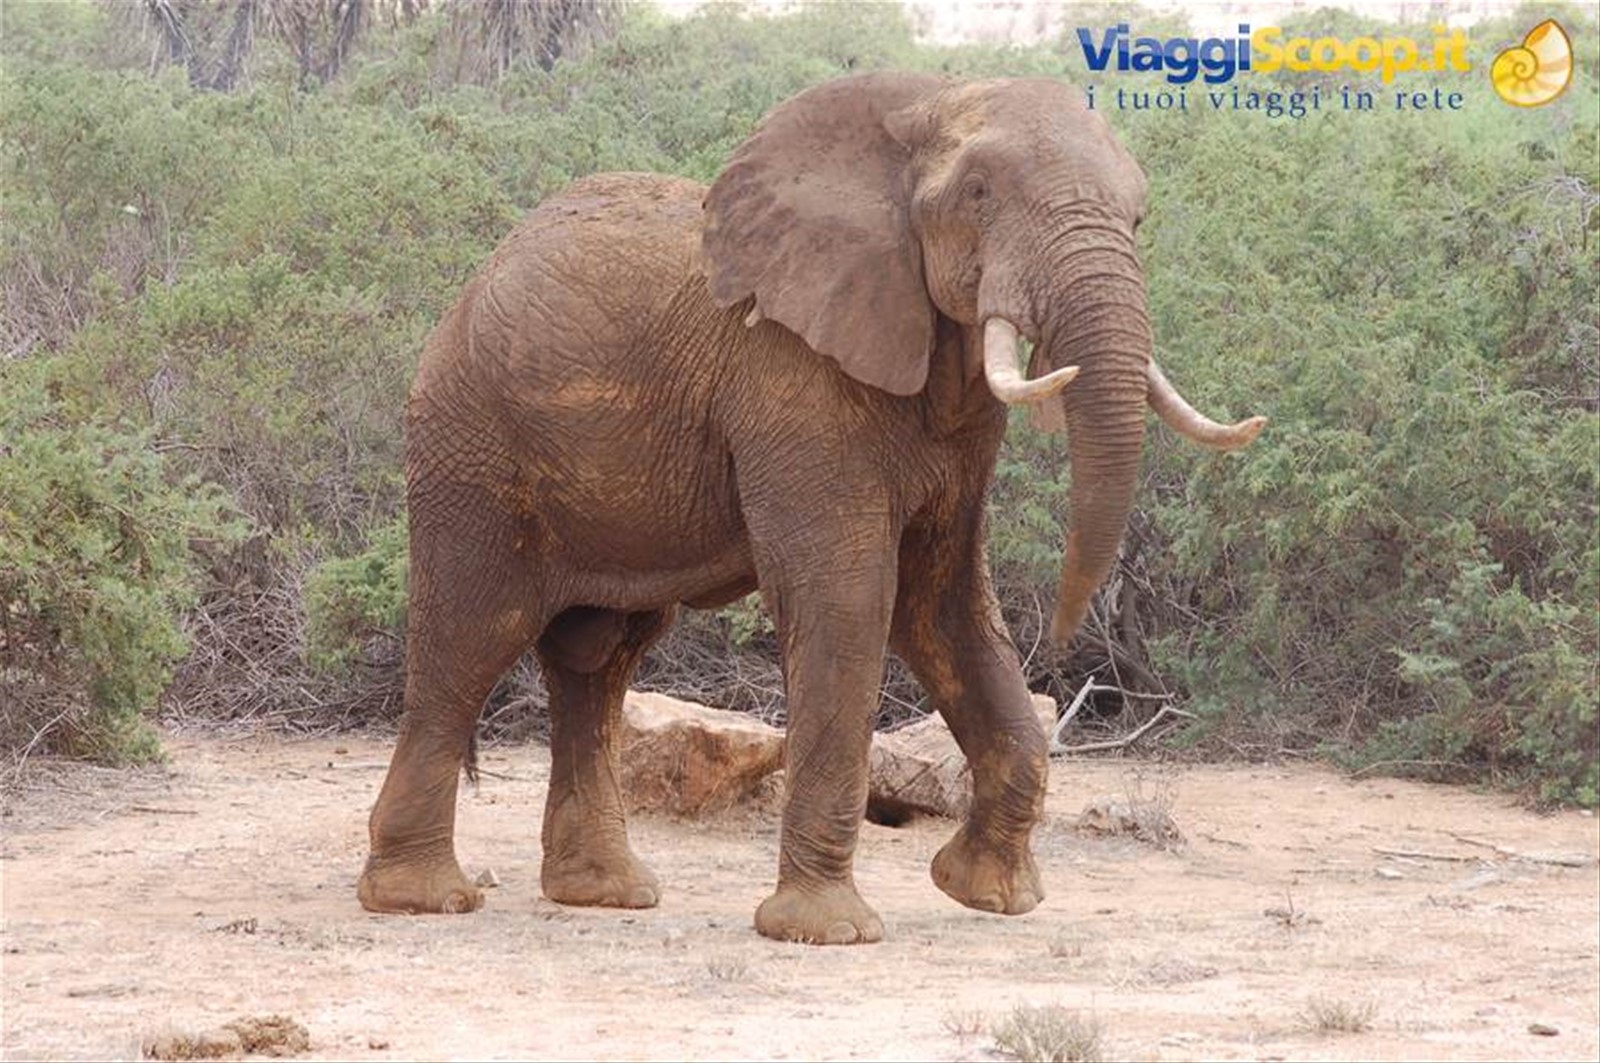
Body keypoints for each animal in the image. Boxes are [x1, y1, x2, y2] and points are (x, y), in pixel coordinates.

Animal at [357, 73, 1264, 944]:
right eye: (978, 193)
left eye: (1139, 216)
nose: (1078, 647)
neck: (917, 107)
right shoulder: (791, 376)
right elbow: (849, 597)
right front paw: (830, 931)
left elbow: (947, 606)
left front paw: (989, 895)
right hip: (470, 441)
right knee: (472, 635)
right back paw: (423, 898)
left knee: (599, 654)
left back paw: (606, 893)